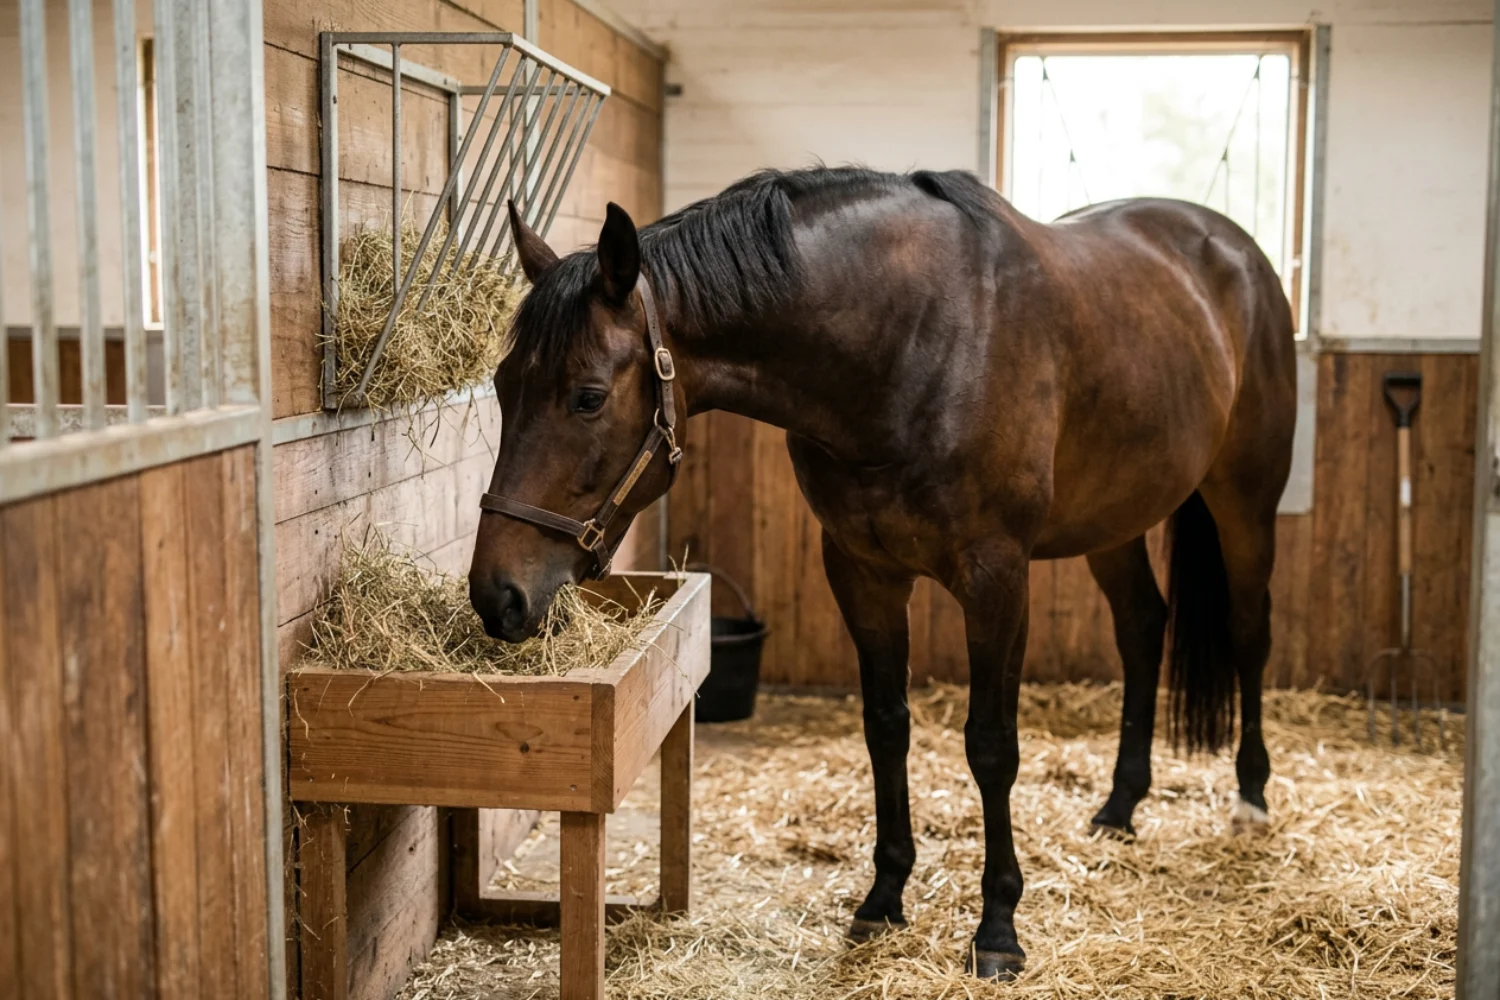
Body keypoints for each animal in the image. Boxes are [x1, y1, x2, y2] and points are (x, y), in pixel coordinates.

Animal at [469, 166, 1297, 978]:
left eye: (588, 397)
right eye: (503, 386)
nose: (496, 595)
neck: (913, 346)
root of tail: (1235, 252)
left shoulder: (996, 579)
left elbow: (991, 744)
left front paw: (998, 927)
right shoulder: (862, 572)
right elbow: (885, 727)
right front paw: (884, 896)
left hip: (1245, 500)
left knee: (1250, 633)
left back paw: (1251, 796)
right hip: (1113, 520)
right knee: (1142, 628)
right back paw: (1121, 807)